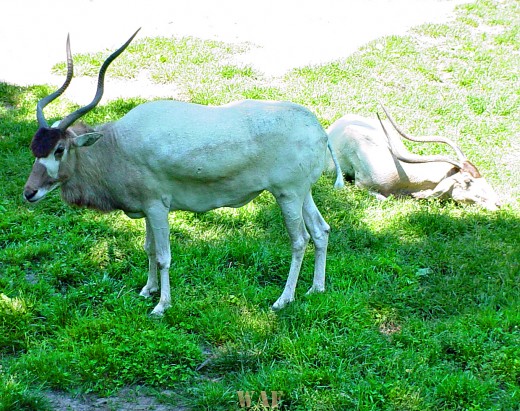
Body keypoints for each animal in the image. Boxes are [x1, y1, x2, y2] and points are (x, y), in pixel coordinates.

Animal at [23, 30, 346, 318]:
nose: (29, 193)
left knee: (300, 239)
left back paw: (283, 299)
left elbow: (164, 256)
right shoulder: (147, 208)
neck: (116, 145)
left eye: (59, 149)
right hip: (302, 193)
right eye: (34, 149)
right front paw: (148, 290)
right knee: (321, 230)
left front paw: (161, 305)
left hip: (287, 194)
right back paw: (316, 289)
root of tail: (318, 129)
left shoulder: (157, 206)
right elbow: (149, 248)